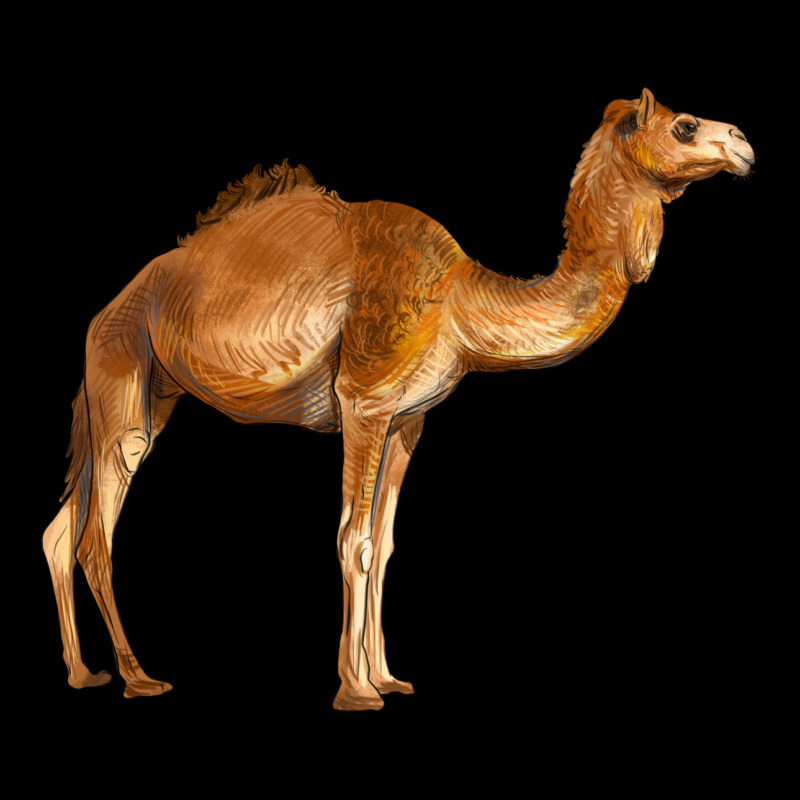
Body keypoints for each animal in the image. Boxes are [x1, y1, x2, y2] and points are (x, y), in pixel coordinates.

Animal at [42, 89, 753, 710]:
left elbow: (383, 545)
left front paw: (387, 677)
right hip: (120, 372)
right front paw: (356, 692)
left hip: (149, 391)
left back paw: (82, 673)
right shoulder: (364, 398)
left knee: (61, 529)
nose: (743, 143)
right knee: (95, 533)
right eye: (685, 126)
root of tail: (103, 312)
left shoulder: (408, 420)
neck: (460, 302)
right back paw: (138, 678)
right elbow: (352, 539)